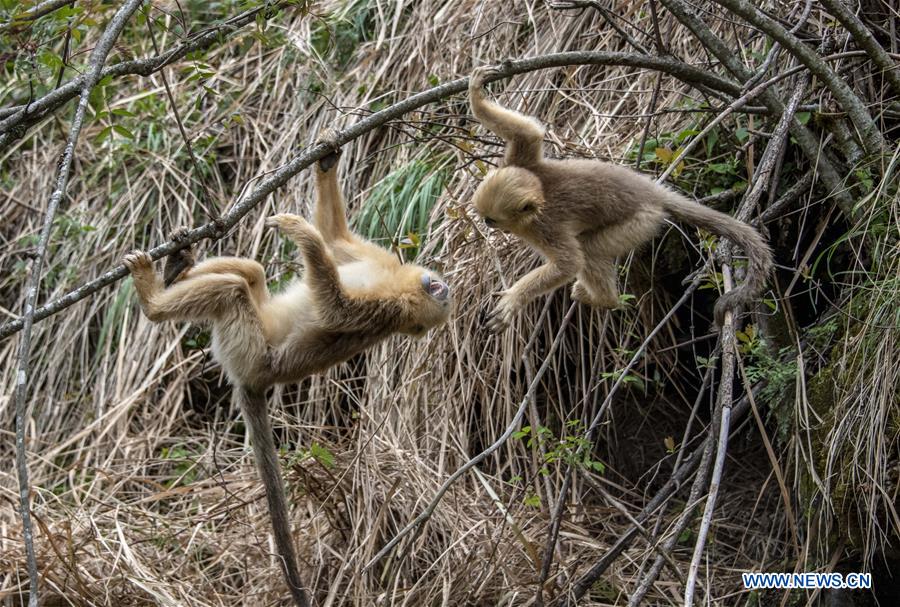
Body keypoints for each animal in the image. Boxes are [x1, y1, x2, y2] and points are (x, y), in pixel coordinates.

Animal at [123, 150, 454, 604]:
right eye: (437, 288)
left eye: (438, 299)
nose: (445, 290)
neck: (396, 285)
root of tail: (254, 381)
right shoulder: (382, 262)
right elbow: (336, 238)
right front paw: (327, 159)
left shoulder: (389, 312)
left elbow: (335, 309)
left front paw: (303, 235)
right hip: (257, 321)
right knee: (250, 272)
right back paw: (178, 266)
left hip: (246, 348)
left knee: (232, 290)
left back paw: (154, 300)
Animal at [468, 66, 768, 332]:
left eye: (492, 219)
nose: (486, 224)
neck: (541, 190)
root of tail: (652, 192)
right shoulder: (522, 162)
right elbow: (528, 133)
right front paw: (477, 96)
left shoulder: (544, 227)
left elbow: (569, 263)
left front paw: (514, 299)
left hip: (641, 222)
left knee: (590, 249)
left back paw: (605, 299)